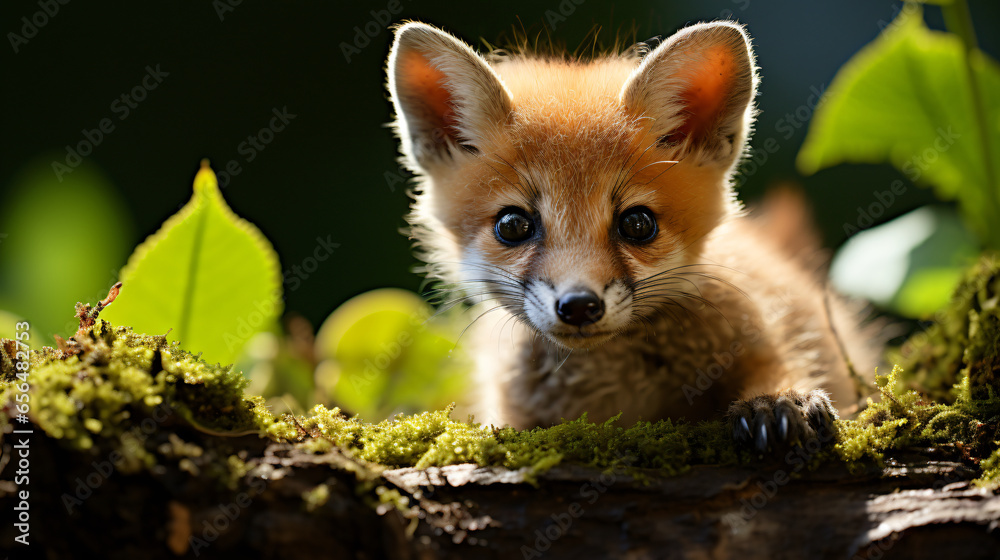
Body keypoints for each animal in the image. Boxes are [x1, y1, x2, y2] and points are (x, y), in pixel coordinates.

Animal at [385, 20, 879, 453]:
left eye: (637, 224)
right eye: (513, 226)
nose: (579, 305)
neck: (618, 390)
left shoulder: (761, 338)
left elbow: (780, 369)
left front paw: (778, 400)